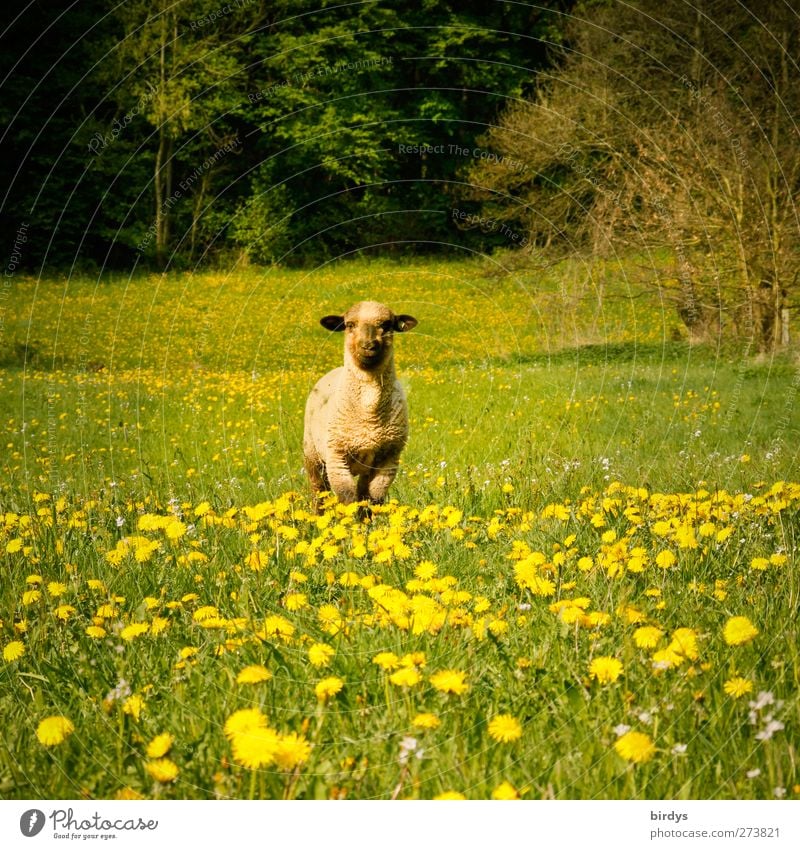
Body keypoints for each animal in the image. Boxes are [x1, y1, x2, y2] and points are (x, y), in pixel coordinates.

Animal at [304, 300, 418, 510]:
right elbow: (347, 499)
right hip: (313, 456)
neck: (369, 412)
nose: (368, 345)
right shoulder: (337, 458)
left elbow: (373, 498)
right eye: (349, 325)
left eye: (387, 325)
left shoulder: (389, 459)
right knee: (319, 493)